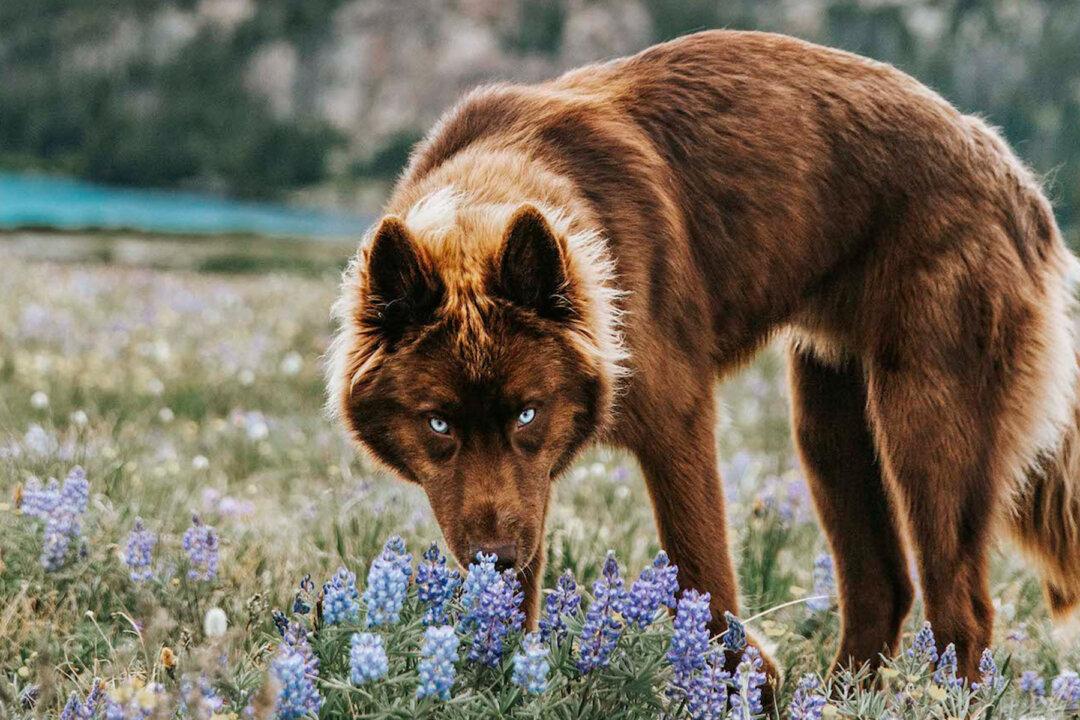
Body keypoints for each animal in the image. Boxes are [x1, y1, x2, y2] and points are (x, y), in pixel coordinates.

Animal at [328, 29, 1080, 689]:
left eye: (527, 414)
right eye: (438, 424)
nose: (497, 560)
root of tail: (1012, 174)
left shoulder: (675, 424)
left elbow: (703, 578)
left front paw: (745, 685)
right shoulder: (525, 491)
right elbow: (515, 609)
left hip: (927, 423)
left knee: (963, 610)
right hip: (829, 419)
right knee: (881, 587)